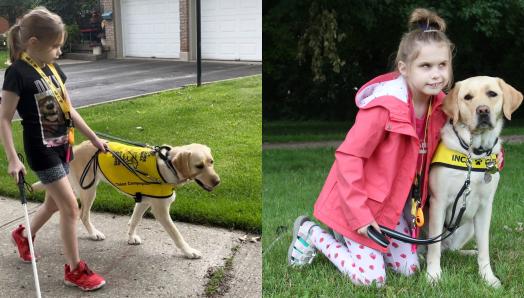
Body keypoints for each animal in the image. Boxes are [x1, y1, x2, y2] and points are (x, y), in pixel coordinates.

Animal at [32, 140, 221, 258]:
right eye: (199, 166)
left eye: (211, 162)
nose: (217, 182)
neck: (168, 166)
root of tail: (77, 147)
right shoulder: (160, 211)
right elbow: (177, 234)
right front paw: (189, 252)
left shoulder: (144, 201)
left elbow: (134, 220)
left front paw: (130, 237)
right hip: (88, 190)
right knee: (83, 215)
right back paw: (93, 234)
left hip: (73, 188)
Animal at [428, 76, 520, 286]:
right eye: (467, 97)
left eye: (492, 94)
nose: (483, 110)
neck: (474, 154)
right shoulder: (438, 202)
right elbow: (433, 248)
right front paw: (433, 275)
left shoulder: (485, 207)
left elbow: (484, 247)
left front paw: (488, 277)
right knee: (437, 247)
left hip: (468, 224)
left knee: (451, 249)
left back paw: (468, 252)